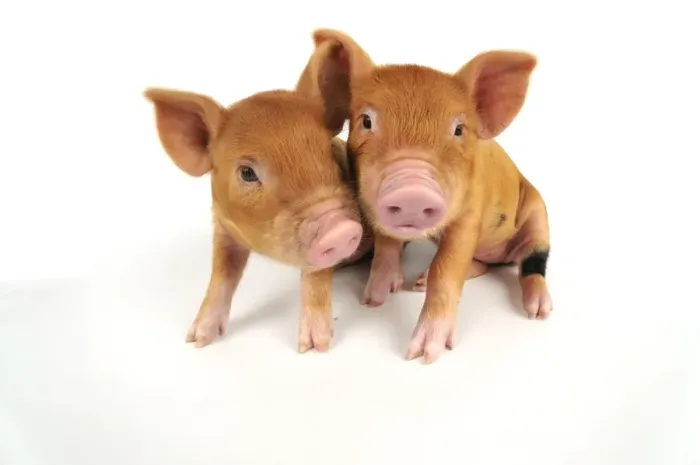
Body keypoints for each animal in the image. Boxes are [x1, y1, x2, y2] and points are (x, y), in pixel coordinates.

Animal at [143, 83, 373, 353]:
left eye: (329, 153)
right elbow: (221, 274)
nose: (339, 228)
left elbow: (315, 278)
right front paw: (196, 340)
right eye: (247, 173)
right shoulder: (224, 228)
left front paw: (313, 347)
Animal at [296, 29, 552, 363]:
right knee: (483, 265)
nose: (412, 191)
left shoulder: (470, 215)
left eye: (458, 129)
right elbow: (387, 248)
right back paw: (420, 281)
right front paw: (373, 301)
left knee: (533, 262)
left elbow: (448, 266)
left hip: (539, 215)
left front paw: (422, 354)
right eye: (366, 121)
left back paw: (538, 311)